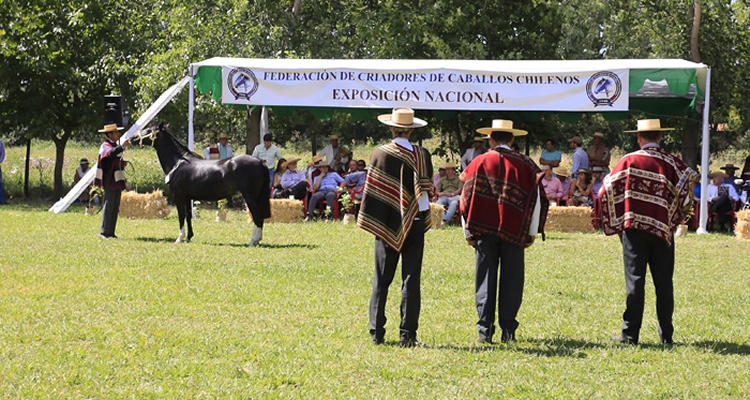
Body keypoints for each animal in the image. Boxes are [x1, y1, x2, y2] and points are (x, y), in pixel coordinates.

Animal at [131, 125, 272, 245]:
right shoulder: (187, 198)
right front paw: (188, 237)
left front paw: (179, 238)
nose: (132, 138)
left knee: (257, 215)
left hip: (250, 197)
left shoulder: (178, 196)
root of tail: (260, 161)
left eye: (149, 130)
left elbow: (181, 216)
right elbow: (188, 216)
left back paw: (253, 241)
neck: (178, 162)